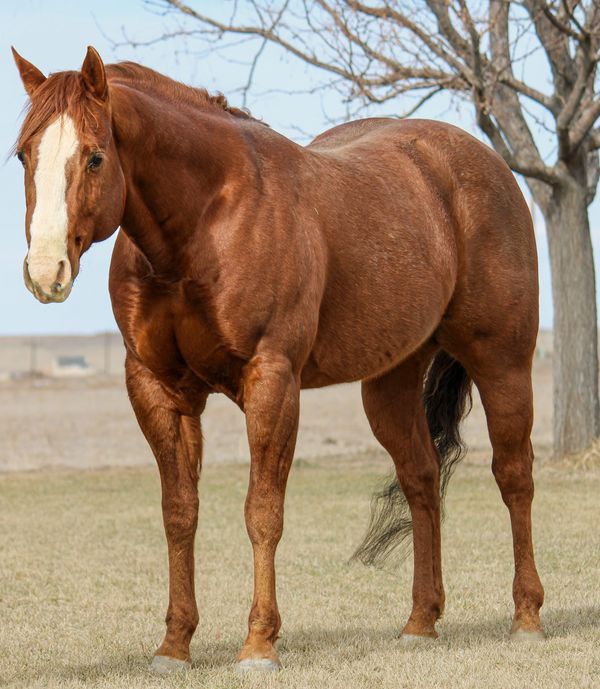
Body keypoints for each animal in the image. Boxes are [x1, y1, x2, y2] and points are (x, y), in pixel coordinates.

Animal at [12, 46, 544, 674]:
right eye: (23, 155)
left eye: (95, 157)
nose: (45, 271)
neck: (207, 220)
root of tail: (482, 163)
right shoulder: (157, 387)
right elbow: (179, 513)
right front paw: (174, 645)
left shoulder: (271, 382)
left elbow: (262, 511)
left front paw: (259, 643)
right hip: (389, 383)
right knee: (420, 480)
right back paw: (420, 622)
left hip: (502, 362)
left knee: (513, 477)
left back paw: (527, 617)